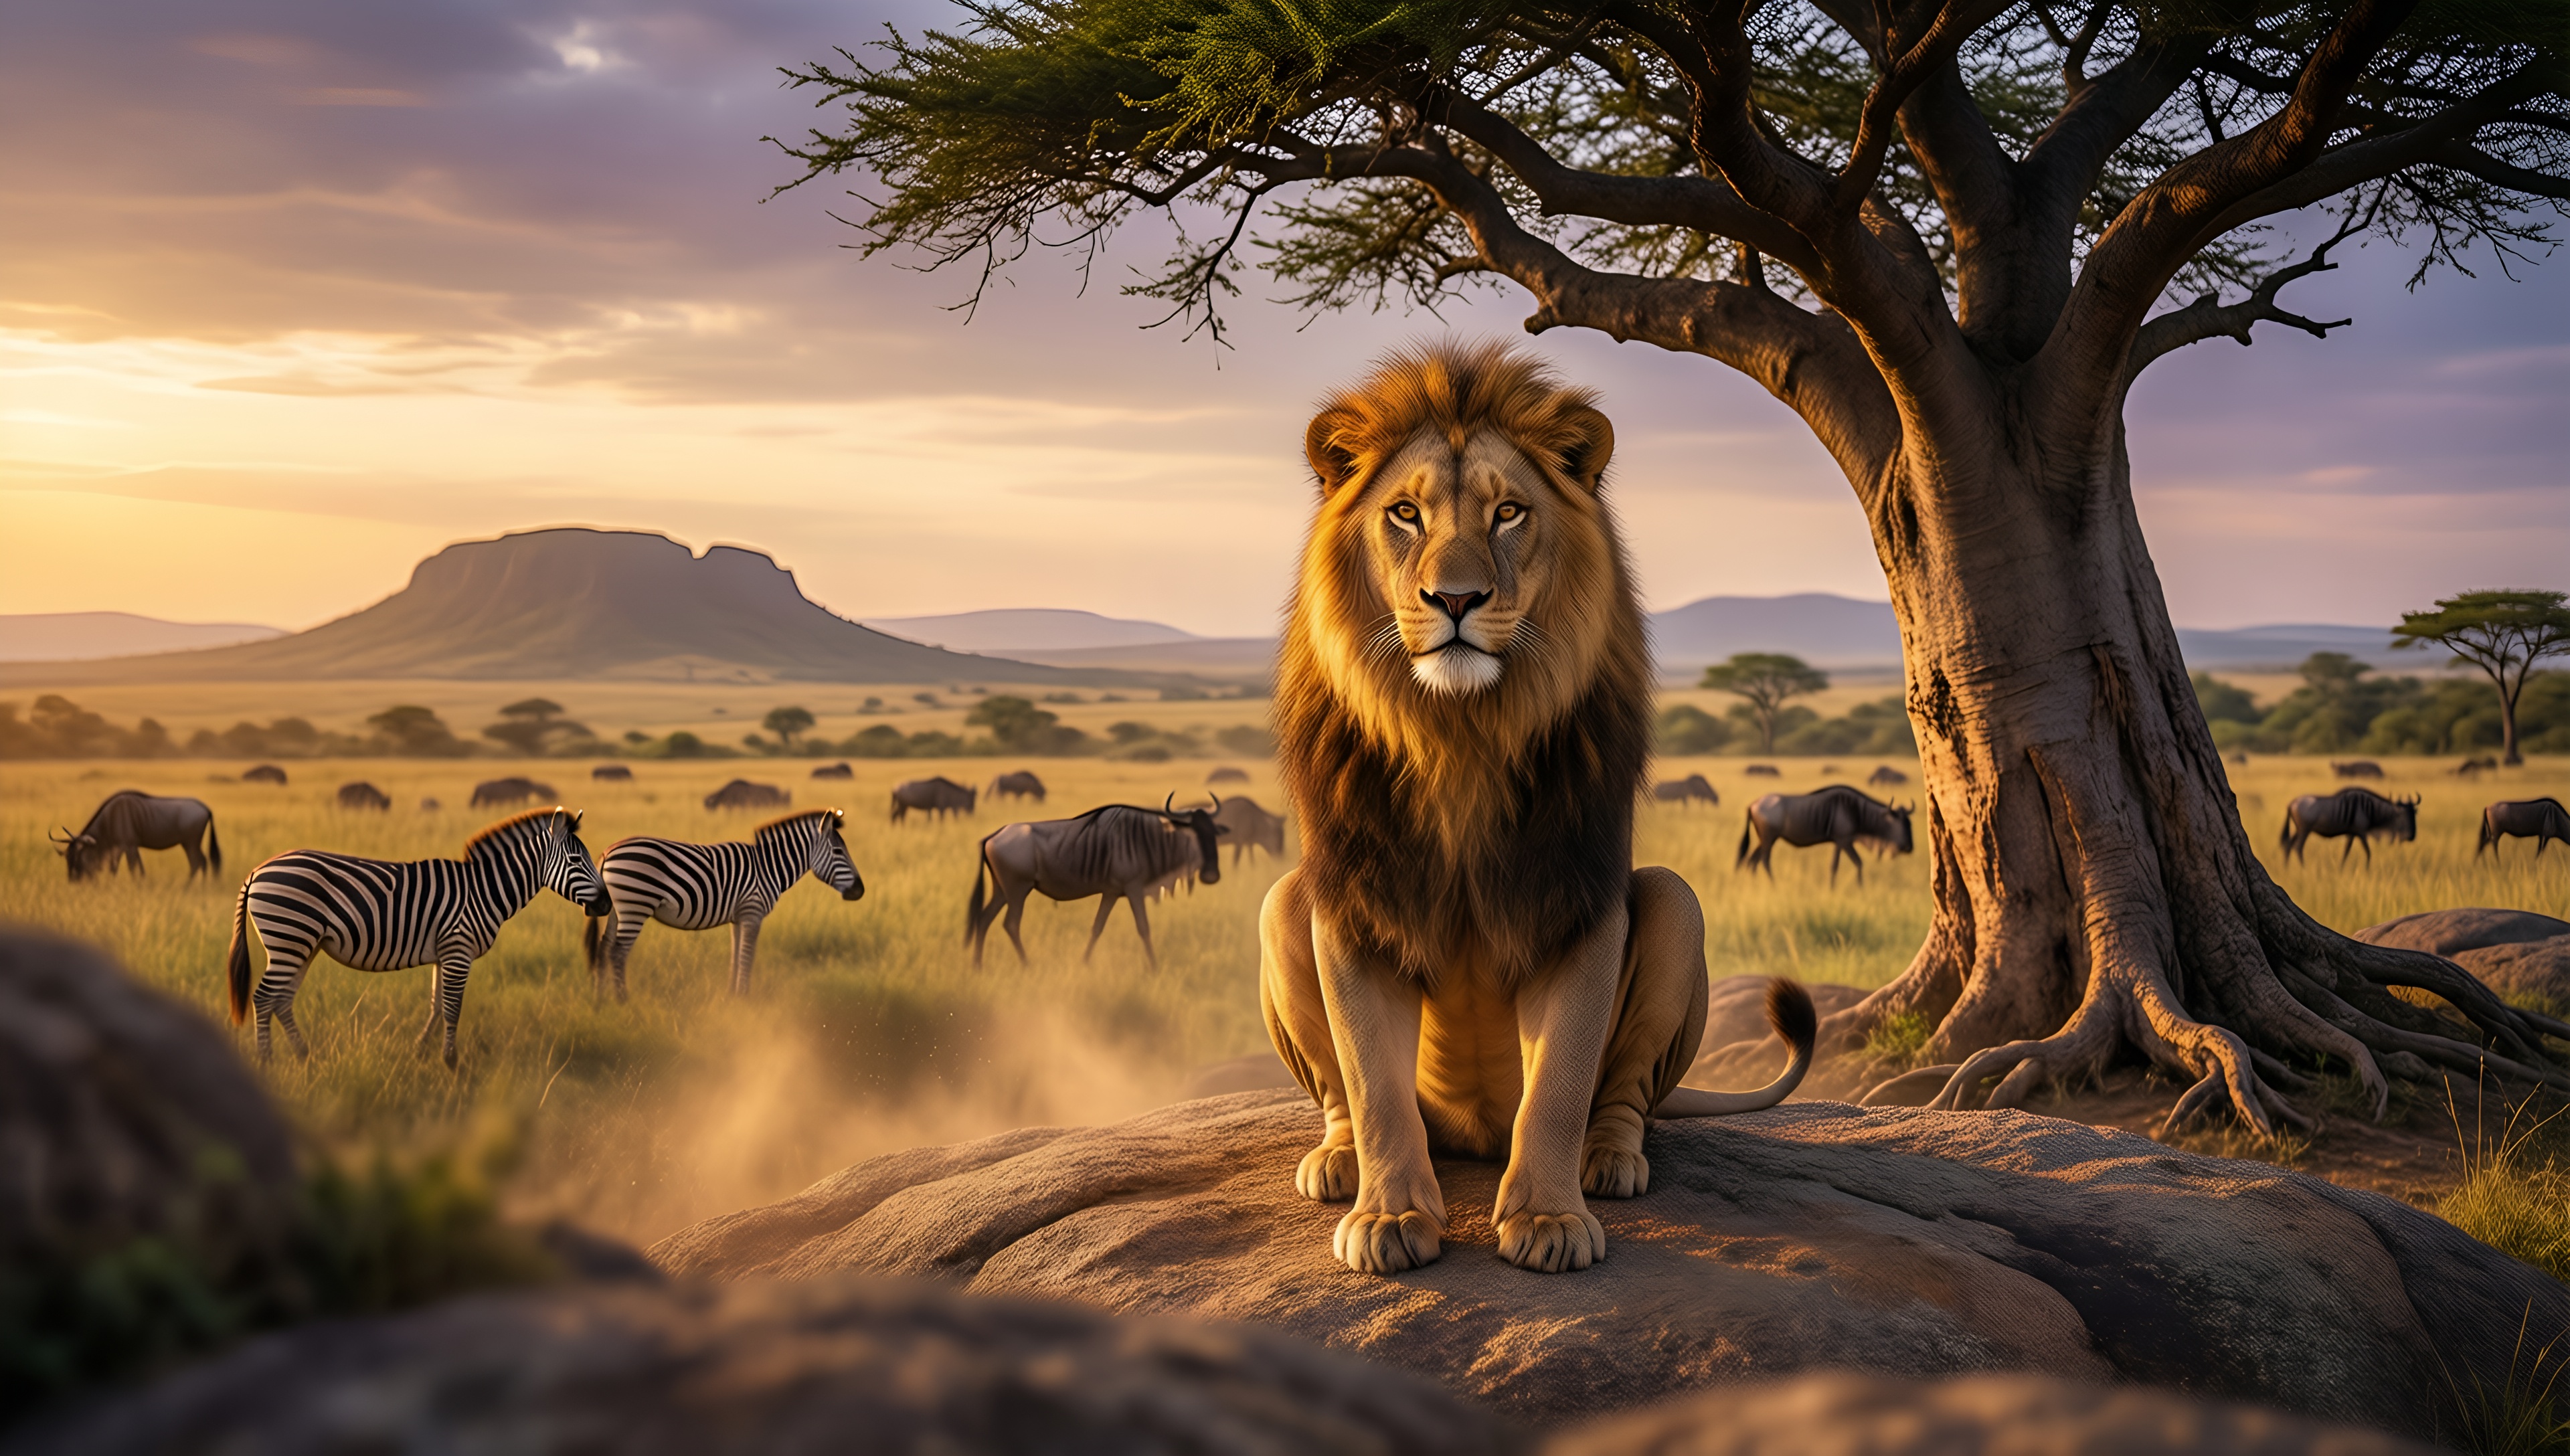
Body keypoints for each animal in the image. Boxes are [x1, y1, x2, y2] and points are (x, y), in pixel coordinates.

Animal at [1260, 340, 1816, 1276]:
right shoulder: (1355, 905)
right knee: (1341, 1093)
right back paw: (1337, 1164)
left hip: (1673, 901)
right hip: (1281, 901)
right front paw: (1388, 1217)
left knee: (1625, 1094)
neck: (1459, 737)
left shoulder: (1579, 902)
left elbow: (1558, 1082)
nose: (1455, 600)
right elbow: (1373, 1083)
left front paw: (1550, 1219)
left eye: (1509, 512)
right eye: (1405, 513)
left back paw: (1609, 1162)